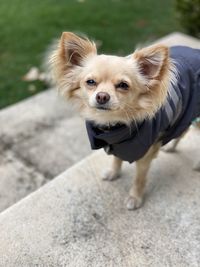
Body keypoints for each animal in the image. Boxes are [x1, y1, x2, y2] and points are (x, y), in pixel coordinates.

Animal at [48, 31, 200, 211]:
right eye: (90, 82)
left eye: (123, 85)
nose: (102, 96)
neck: (114, 125)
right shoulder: (118, 144)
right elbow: (116, 158)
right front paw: (114, 172)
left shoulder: (144, 156)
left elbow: (139, 179)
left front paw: (135, 197)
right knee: (182, 131)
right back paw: (170, 147)